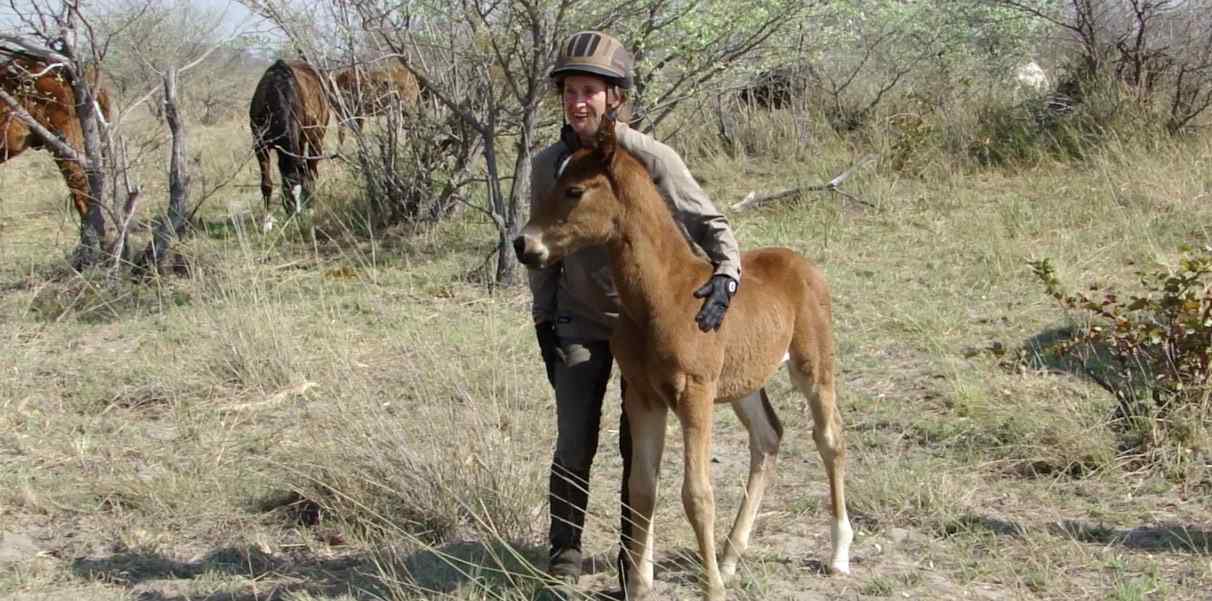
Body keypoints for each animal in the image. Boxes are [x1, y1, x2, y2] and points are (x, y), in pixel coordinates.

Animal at [249, 59, 331, 221]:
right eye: (286, 190)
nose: (295, 217)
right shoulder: (260, 145)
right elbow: (266, 184)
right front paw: (267, 222)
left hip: (316, 138)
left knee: (311, 169)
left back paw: (311, 207)